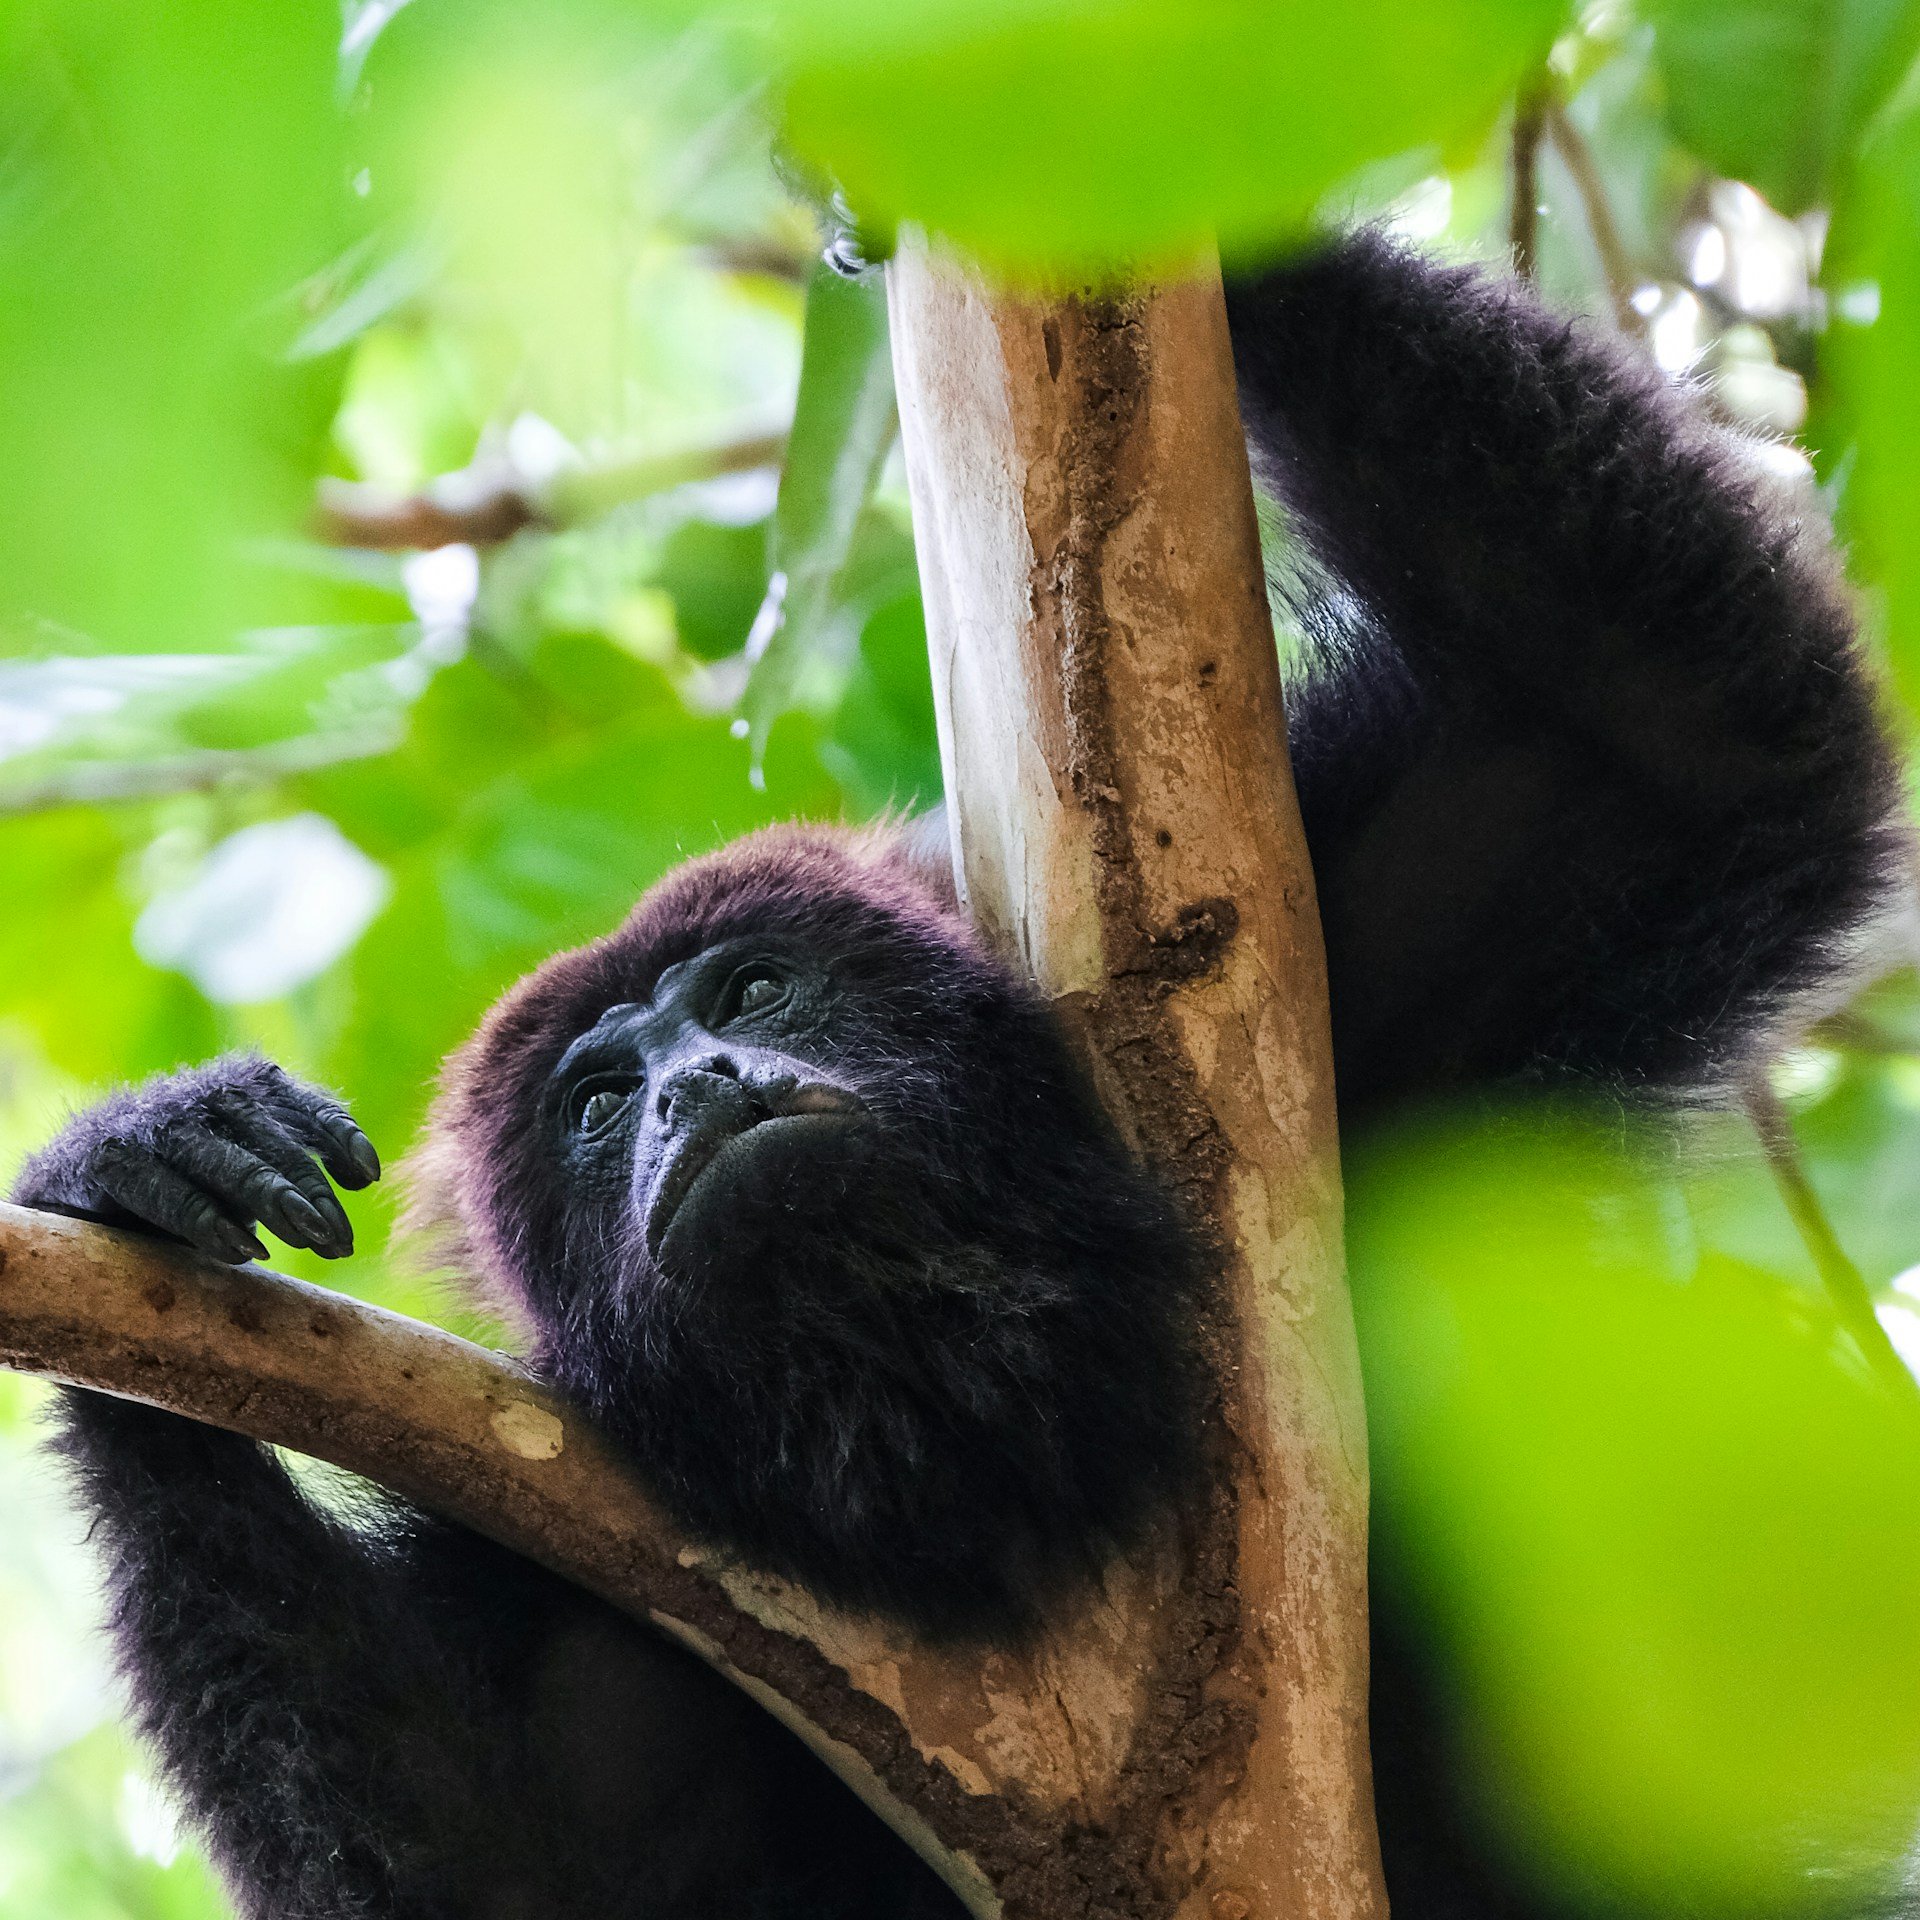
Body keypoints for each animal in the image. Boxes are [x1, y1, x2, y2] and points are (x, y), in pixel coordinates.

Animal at [12, 231, 1899, 1920]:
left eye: (753, 984)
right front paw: (140, 1187)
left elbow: (1682, 736)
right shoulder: (590, 1600)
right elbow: (478, 1870)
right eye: (598, 1104)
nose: (698, 1087)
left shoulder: (1399, 997)